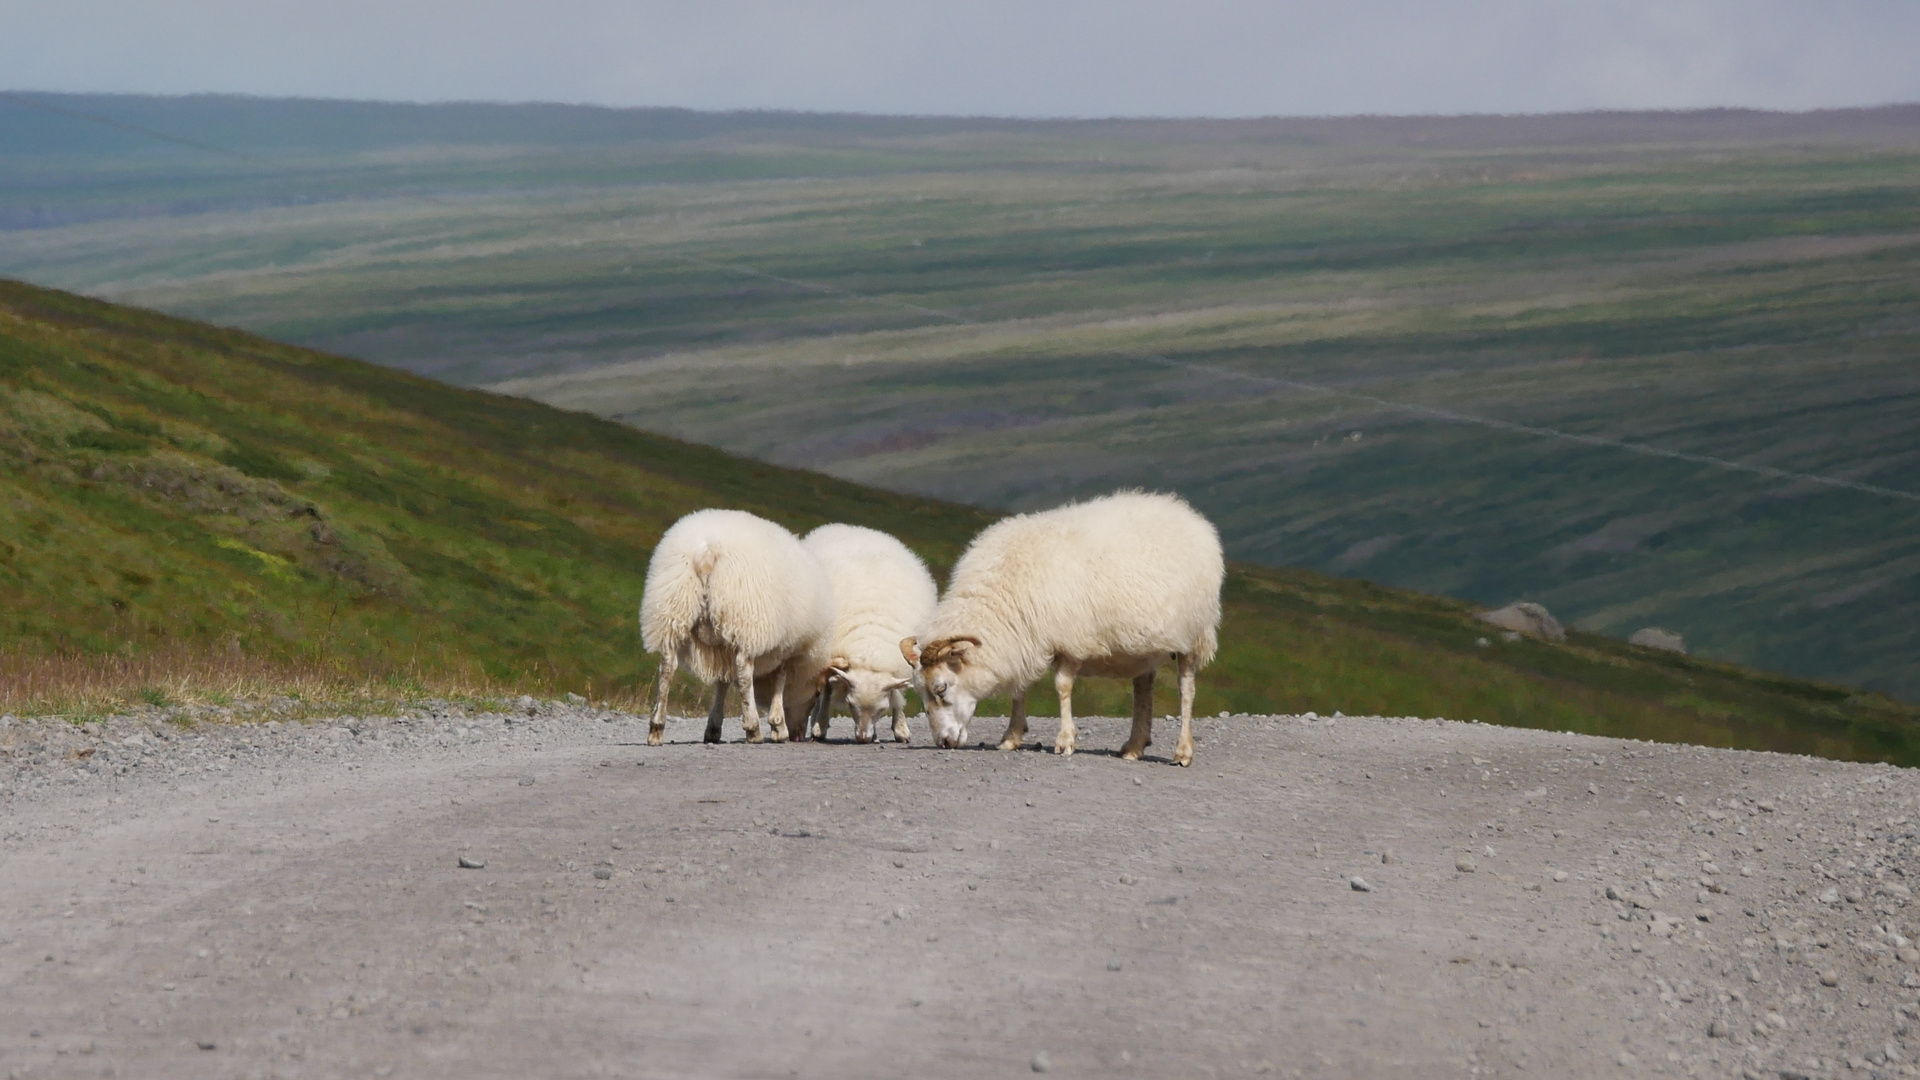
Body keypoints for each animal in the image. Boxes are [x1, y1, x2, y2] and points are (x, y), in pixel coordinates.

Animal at [637, 507, 833, 745]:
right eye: (816, 694)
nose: (799, 736)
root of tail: (706, 553)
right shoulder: (784, 644)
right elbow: (779, 679)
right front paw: (778, 726)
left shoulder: (725, 644)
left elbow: (722, 681)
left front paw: (713, 727)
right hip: (744, 619)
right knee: (743, 671)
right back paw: (753, 729)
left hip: (673, 607)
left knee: (667, 666)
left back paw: (656, 728)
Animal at [798, 522, 940, 737]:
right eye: (850, 704)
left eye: (882, 709)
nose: (863, 738)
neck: (870, 650)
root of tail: (853, 527)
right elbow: (827, 691)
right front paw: (819, 725)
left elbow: (897, 694)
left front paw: (900, 728)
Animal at [902, 491, 1228, 760]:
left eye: (941, 688)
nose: (943, 742)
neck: (1002, 599)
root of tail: (1189, 516)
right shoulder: (1024, 639)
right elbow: (1019, 690)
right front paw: (1011, 737)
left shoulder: (1068, 640)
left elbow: (1062, 687)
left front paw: (1064, 741)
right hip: (1144, 645)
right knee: (1143, 689)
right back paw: (1134, 747)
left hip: (1193, 634)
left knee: (1186, 689)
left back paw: (1183, 751)